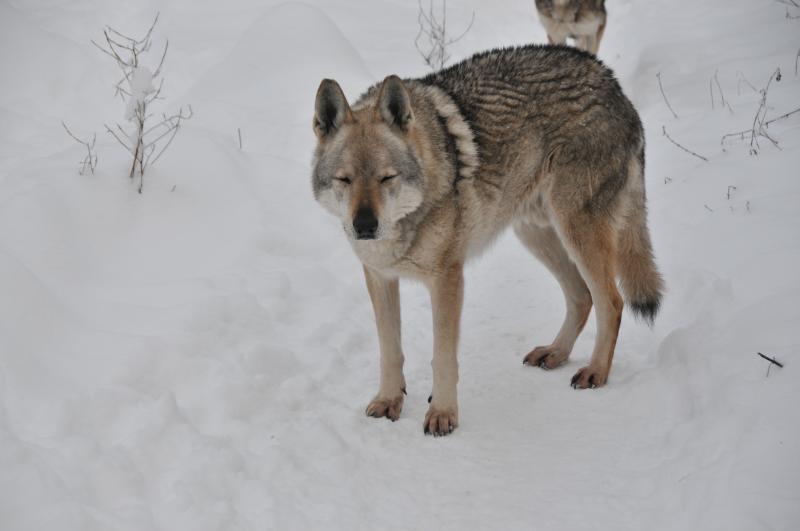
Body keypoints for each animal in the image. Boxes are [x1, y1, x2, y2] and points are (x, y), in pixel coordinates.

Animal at [310, 44, 664, 436]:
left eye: (387, 177)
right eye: (344, 179)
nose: (364, 226)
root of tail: (611, 81)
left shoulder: (447, 278)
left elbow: (442, 356)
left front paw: (443, 414)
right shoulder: (380, 276)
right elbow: (390, 350)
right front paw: (389, 401)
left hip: (576, 231)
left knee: (611, 301)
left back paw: (596, 372)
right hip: (535, 233)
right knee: (581, 297)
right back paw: (555, 353)